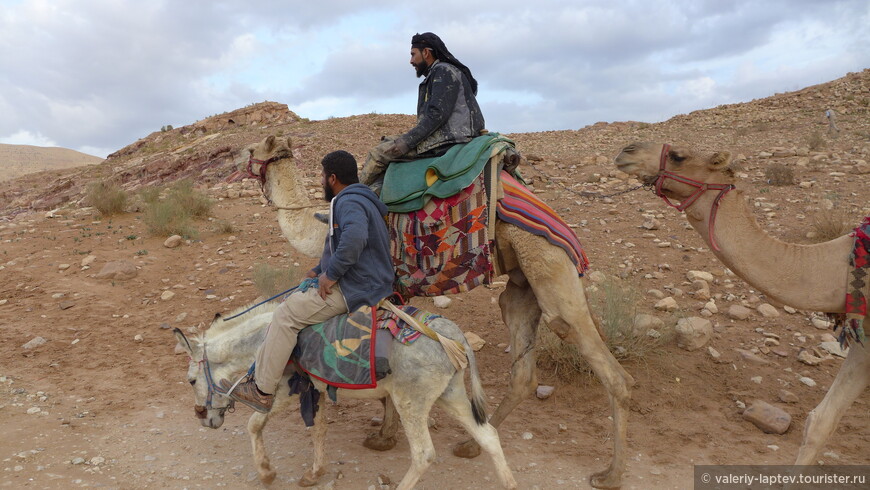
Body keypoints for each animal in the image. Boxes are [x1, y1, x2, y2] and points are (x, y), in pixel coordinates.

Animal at [245, 135, 632, 490]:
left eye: (249, 150)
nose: (236, 159)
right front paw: (387, 431)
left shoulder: (390, 281)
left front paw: (384, 437)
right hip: (522, 288)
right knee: (522, 371)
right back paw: (469, 444)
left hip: (549, 265)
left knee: (602, 363)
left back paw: (610, 475)